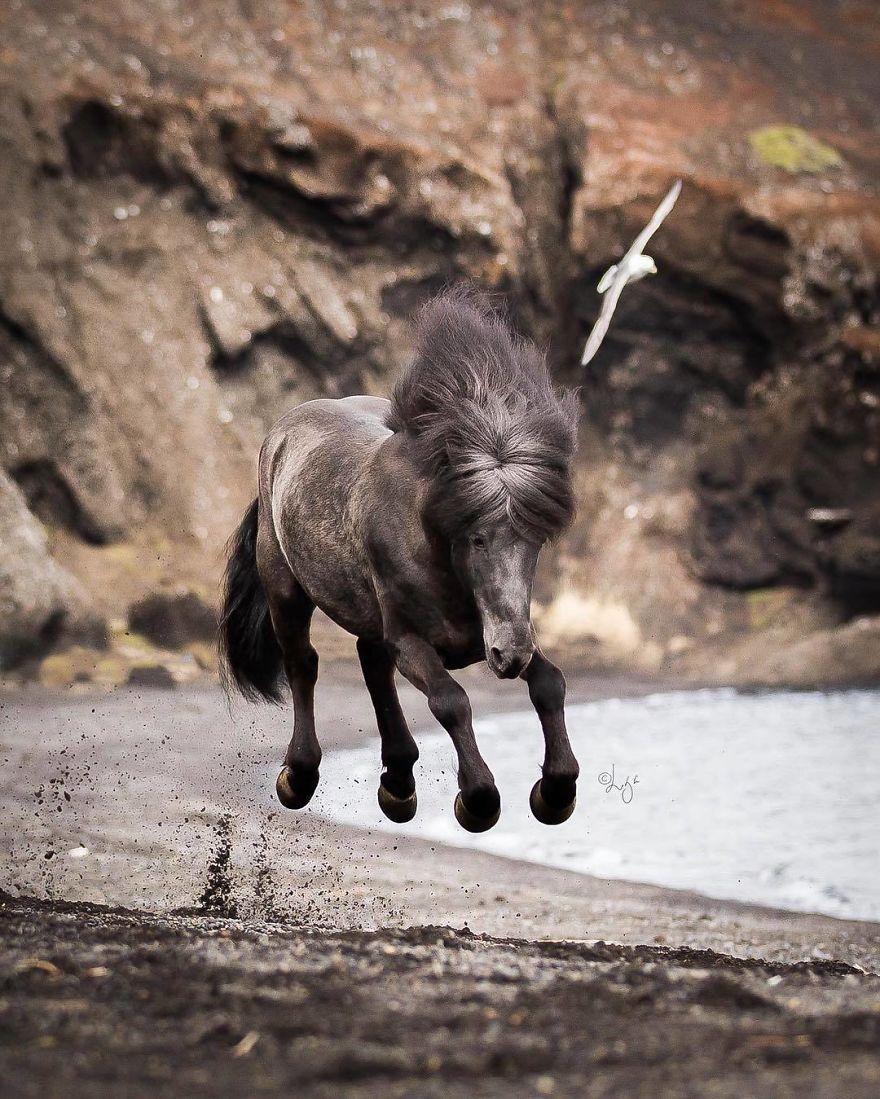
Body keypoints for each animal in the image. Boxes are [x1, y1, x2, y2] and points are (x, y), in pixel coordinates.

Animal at [219, 289, 581, 833]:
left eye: (535, 540)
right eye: (477, 538)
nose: (508, 656)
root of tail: (281, 432)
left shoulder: (494, 630)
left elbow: (549, 684)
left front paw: (556, 791)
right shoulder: (412, 640)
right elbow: (451, 702)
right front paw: (478, 800)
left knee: (371, 665)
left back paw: (397, 781)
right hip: (285, 588)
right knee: (304, 663)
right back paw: (300, 775)